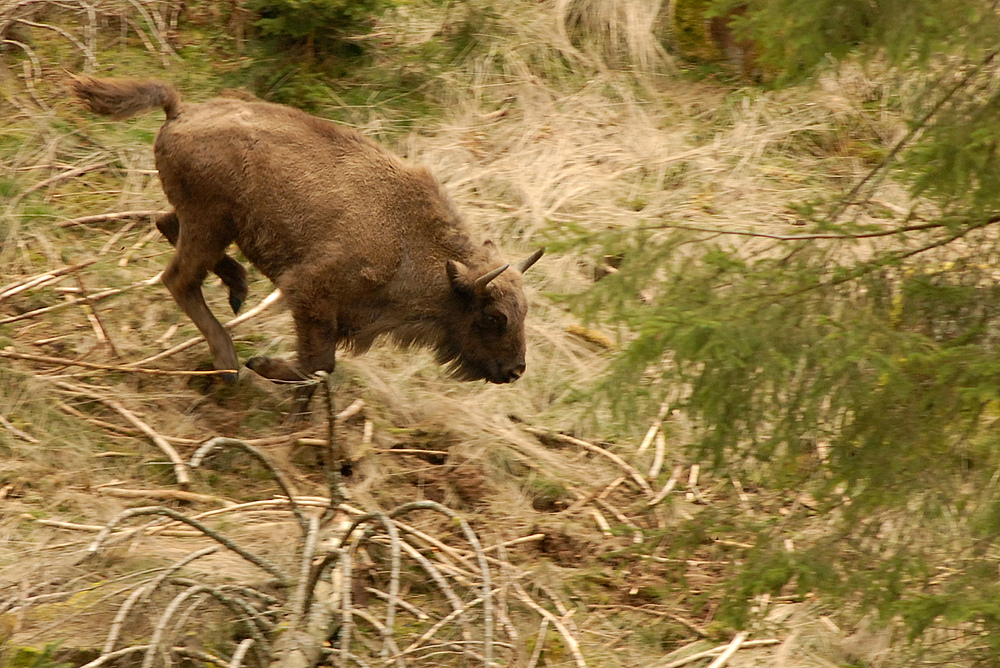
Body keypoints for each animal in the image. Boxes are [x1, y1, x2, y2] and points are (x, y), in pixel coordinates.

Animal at [71, 75, 544, 414]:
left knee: (166, 226)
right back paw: (229, 364)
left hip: (209, 224)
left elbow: (320, 370)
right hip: (209, 223)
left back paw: (238, 288)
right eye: (494, 317)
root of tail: (181, 111)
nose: (516, 370)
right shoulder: (312, 294)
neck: (412, 243)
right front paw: (262, 368)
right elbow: (320, 365)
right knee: (179, 279)